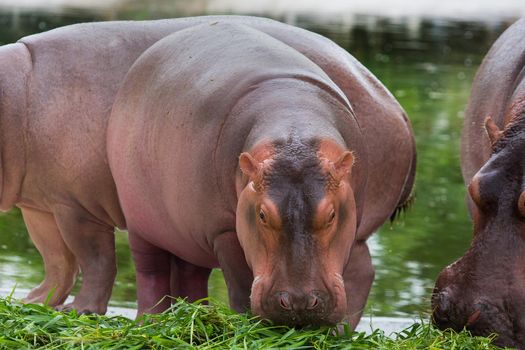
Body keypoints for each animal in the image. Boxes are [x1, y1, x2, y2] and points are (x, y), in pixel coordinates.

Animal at [108, 18, 416, 326]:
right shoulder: (224, 230)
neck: (294, 124)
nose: (300, 303)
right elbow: (241, 286)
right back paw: (149, 321)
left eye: (331, 215)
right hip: (144, 224)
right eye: (262, 215)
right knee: (151, 273)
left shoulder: (352, 220)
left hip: (187, 230)